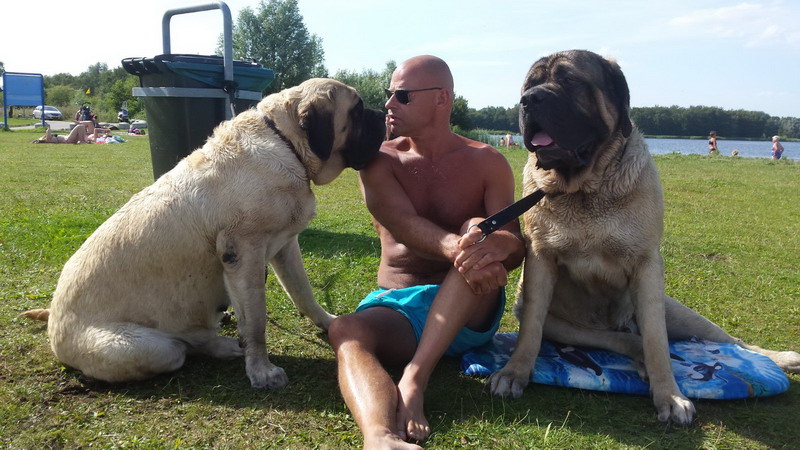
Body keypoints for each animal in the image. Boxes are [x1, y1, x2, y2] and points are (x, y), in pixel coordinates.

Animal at [21, 78, 386, 388]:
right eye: (357, 110)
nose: (382, 114)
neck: (286, 144)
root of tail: (53, 323)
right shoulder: (243, 254)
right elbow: (256, 321)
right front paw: (262, 370)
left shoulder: (286, 247)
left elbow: (303, 293)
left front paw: (328, 321)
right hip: (149, 348)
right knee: (181, 347)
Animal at [487, 50, 800, 425]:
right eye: (530, 85)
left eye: (569, 81)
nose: (530, 99)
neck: (585, 189)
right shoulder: (541, 260)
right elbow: (531, 329)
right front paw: (513, 373)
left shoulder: (647, 267)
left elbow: (656, 340)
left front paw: (670, 396)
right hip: (567, 327)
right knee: (621, 341)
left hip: (682, 315)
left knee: (733, 341)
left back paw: (782, 357)